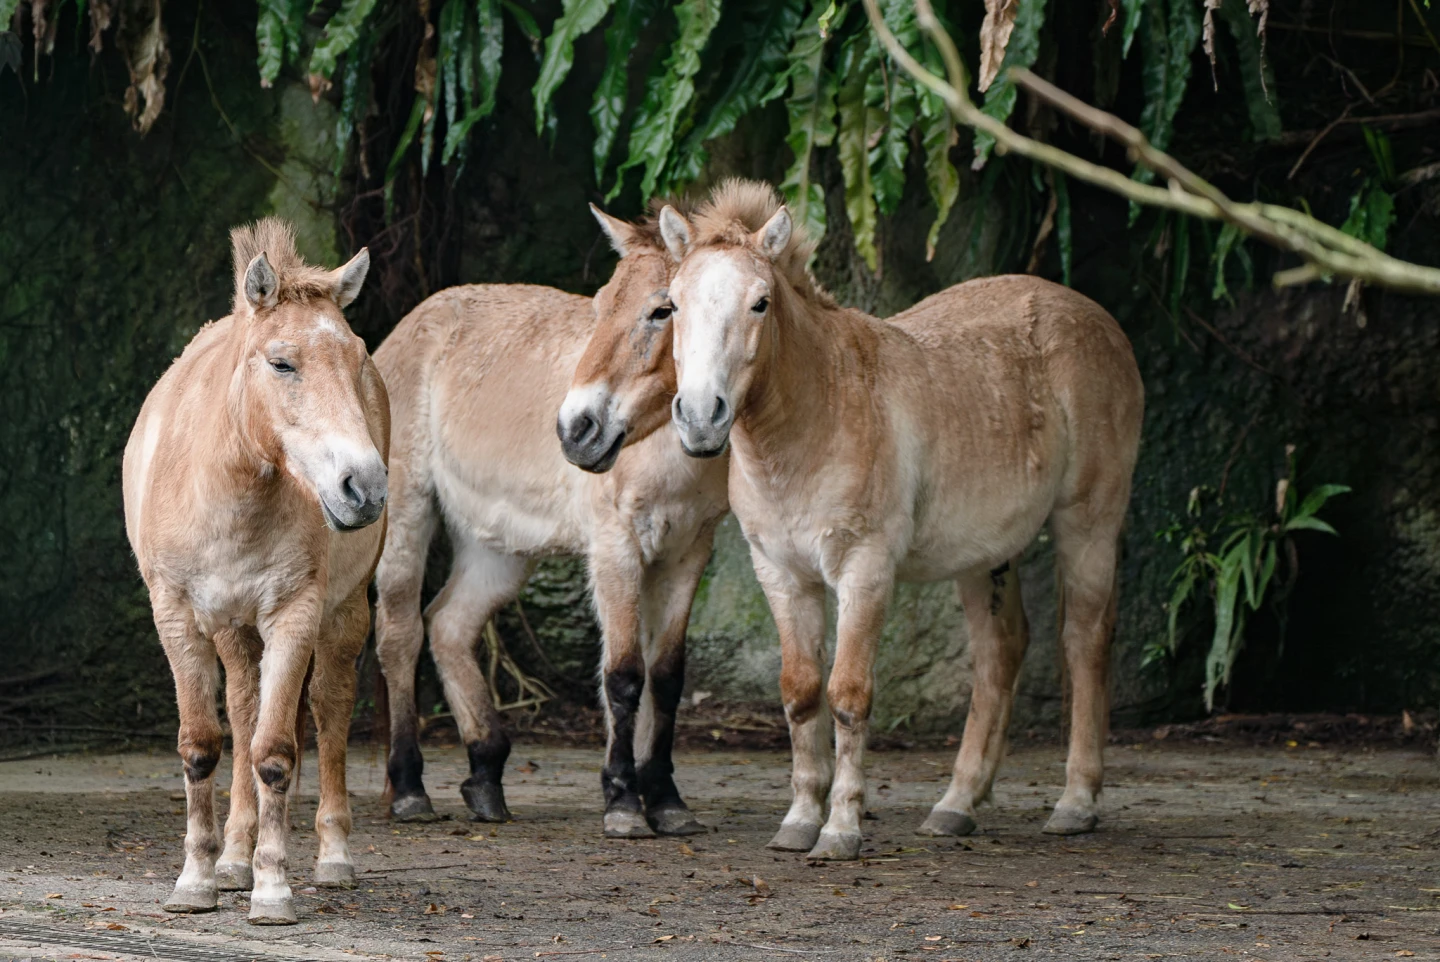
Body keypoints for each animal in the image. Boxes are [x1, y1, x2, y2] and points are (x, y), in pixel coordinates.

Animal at [122, 219, 388, 923]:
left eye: (357, 360)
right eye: (281, 362)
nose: (365, 487)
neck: (229, 489)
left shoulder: (294, 615)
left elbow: (274, 753)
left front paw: (273, 890)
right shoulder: (179, 618)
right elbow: (202, 744)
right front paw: (197, 879)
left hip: (343, 613)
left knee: (327, 706)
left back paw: (331, 858)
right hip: (234, 630)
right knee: (241, 711)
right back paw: (233, 858)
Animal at [373, 205, 728, 839]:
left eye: (663, 309)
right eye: (600, 306)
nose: (577, 431)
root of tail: (412, 323)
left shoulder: (689, 550)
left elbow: (665, 676)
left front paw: (665, 800)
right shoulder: (616, 548)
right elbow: (623, 674)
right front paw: (623, 802)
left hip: (500, 548)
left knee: (449, 625)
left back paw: (486, 775)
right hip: (409, 512)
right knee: (400, 632)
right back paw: (410, 787)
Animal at [622, 180, 1143, 861]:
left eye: (761, 302)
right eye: (673, 305)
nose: (701, 418)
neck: (816, 418)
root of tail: (1099, 319)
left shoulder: (864, 571)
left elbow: (848, 695)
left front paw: (841, 830)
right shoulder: (782, 574)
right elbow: (800, 692)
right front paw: (798, 821)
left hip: (1089, 523)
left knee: (1085, 640)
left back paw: (1076, 803)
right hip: (985, 555)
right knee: (1001, 651)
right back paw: (956, 805)